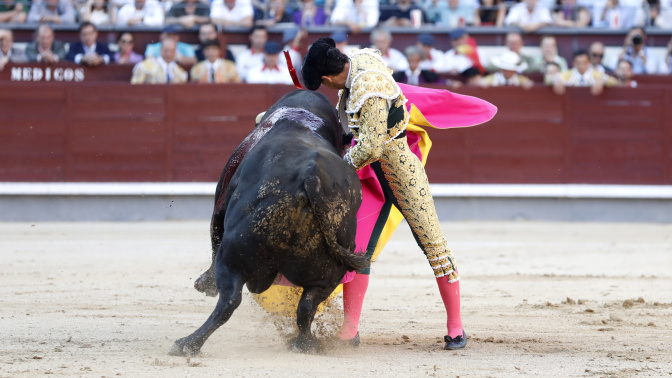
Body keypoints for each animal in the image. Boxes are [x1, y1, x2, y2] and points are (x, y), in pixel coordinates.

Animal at [168, 90, 368, 356]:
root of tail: (311, 176)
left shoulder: (220, 207)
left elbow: (214, 234)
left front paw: (205, 284)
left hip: (233, 256)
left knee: (229, 301)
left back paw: (187, 344)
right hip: (329, 272)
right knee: (306, 307)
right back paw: (306, 344)